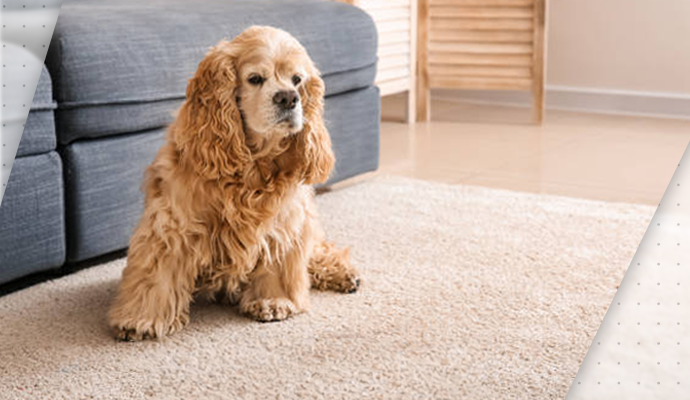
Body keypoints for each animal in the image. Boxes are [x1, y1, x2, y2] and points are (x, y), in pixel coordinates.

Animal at [107, 25, 360, 340]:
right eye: (255, 79)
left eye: (297, 80)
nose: (289, 98)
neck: (253, 164)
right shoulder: (172, 223)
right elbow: (157, 273)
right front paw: (141, 319)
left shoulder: (283, 222)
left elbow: (278, 261)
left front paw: (273, 301)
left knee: (319, 249)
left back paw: (344, 273)